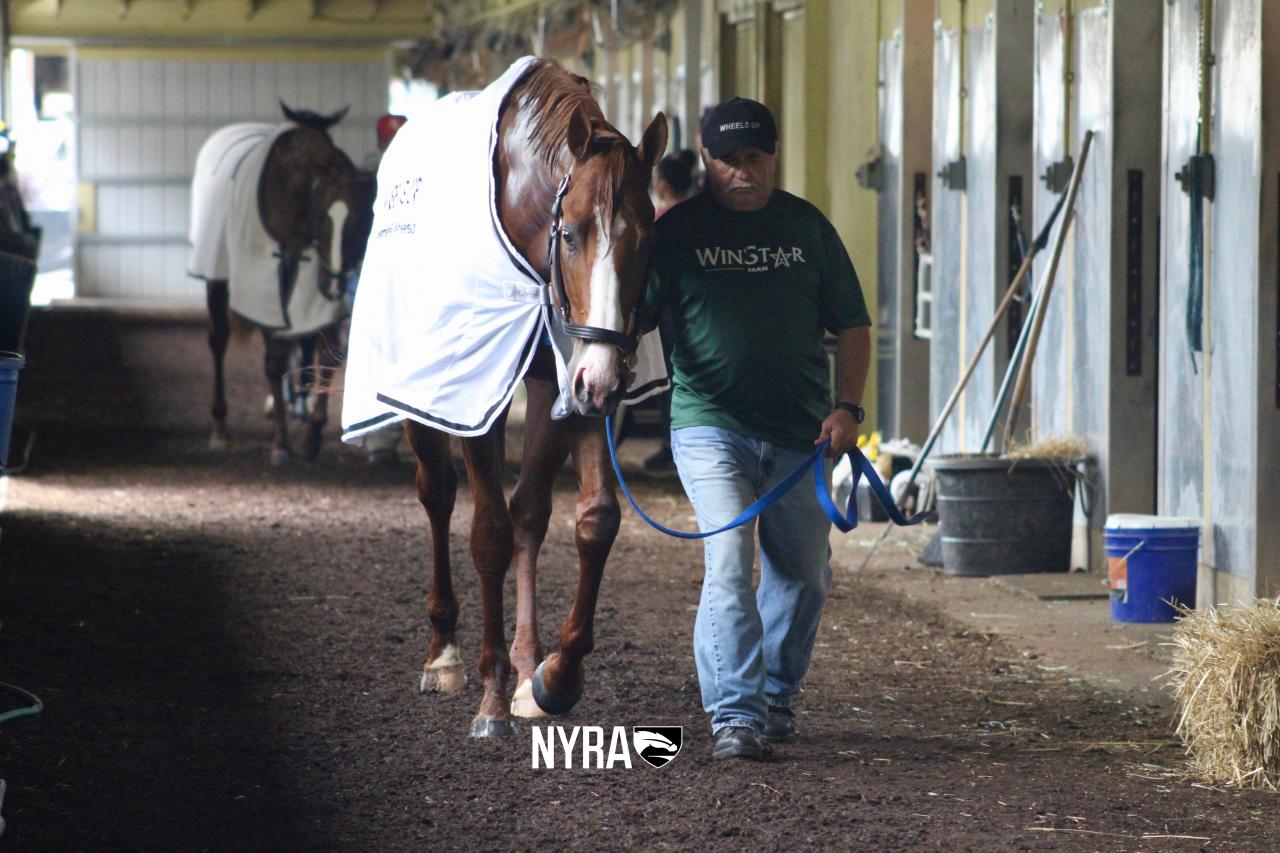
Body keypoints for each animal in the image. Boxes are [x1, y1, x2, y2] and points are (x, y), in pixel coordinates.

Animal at [197, 106, 373, 466]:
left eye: (359, 222)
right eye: (321, 218)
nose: (335, 287)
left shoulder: (316, 300)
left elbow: (326, 355)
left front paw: (311, 433)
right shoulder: (268, 288)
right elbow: (275, 360)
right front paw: (280, 441)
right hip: (217, 279)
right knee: (218, 340)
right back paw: (220, 427)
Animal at [407, 63, 670, 732]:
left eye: (648, 240)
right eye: (571, 233)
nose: (605, 378)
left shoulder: (572, 380)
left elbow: (592, 520)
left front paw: (556, 673)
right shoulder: (481, 401)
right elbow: (489, 534)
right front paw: (490, 697)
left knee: (529, 511)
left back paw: (528, 670)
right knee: (438, 493)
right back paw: (445, 655)